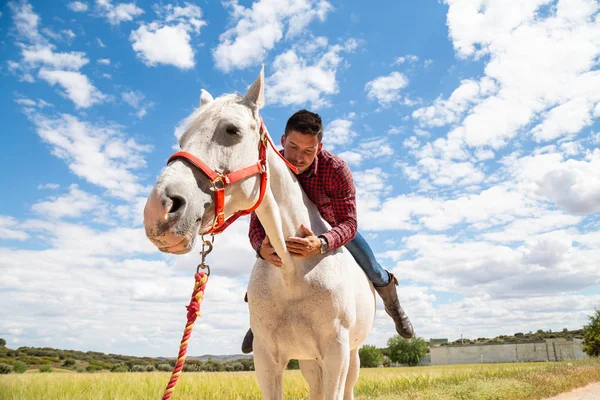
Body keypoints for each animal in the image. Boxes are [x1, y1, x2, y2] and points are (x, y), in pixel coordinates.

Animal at [142, 69, 372, 400]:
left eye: (232, 130)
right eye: (182, 139)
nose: (158, 210)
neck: (292, 271)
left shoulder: (336, 355)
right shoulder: (267, 359)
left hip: (350, 358)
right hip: (309, 362)